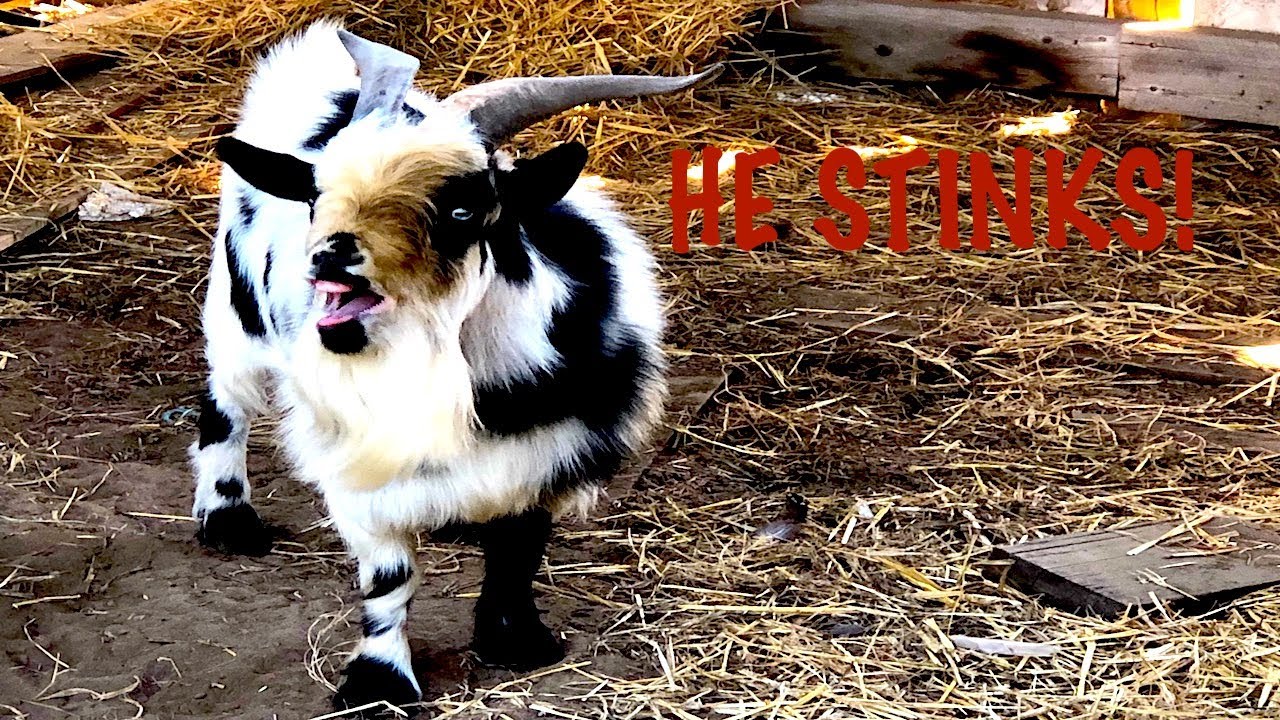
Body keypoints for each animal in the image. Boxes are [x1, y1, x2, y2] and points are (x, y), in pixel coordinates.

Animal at [190, 20, 718, 713]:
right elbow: (389, 575)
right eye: (315, 196)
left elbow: (519, 546)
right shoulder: (353, 462)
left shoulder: (553, 447)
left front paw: (515, 641)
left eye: (464, 209)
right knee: (224, 404)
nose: (331, 256)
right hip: (235, 313)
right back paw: (228, 519)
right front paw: (378, 680)